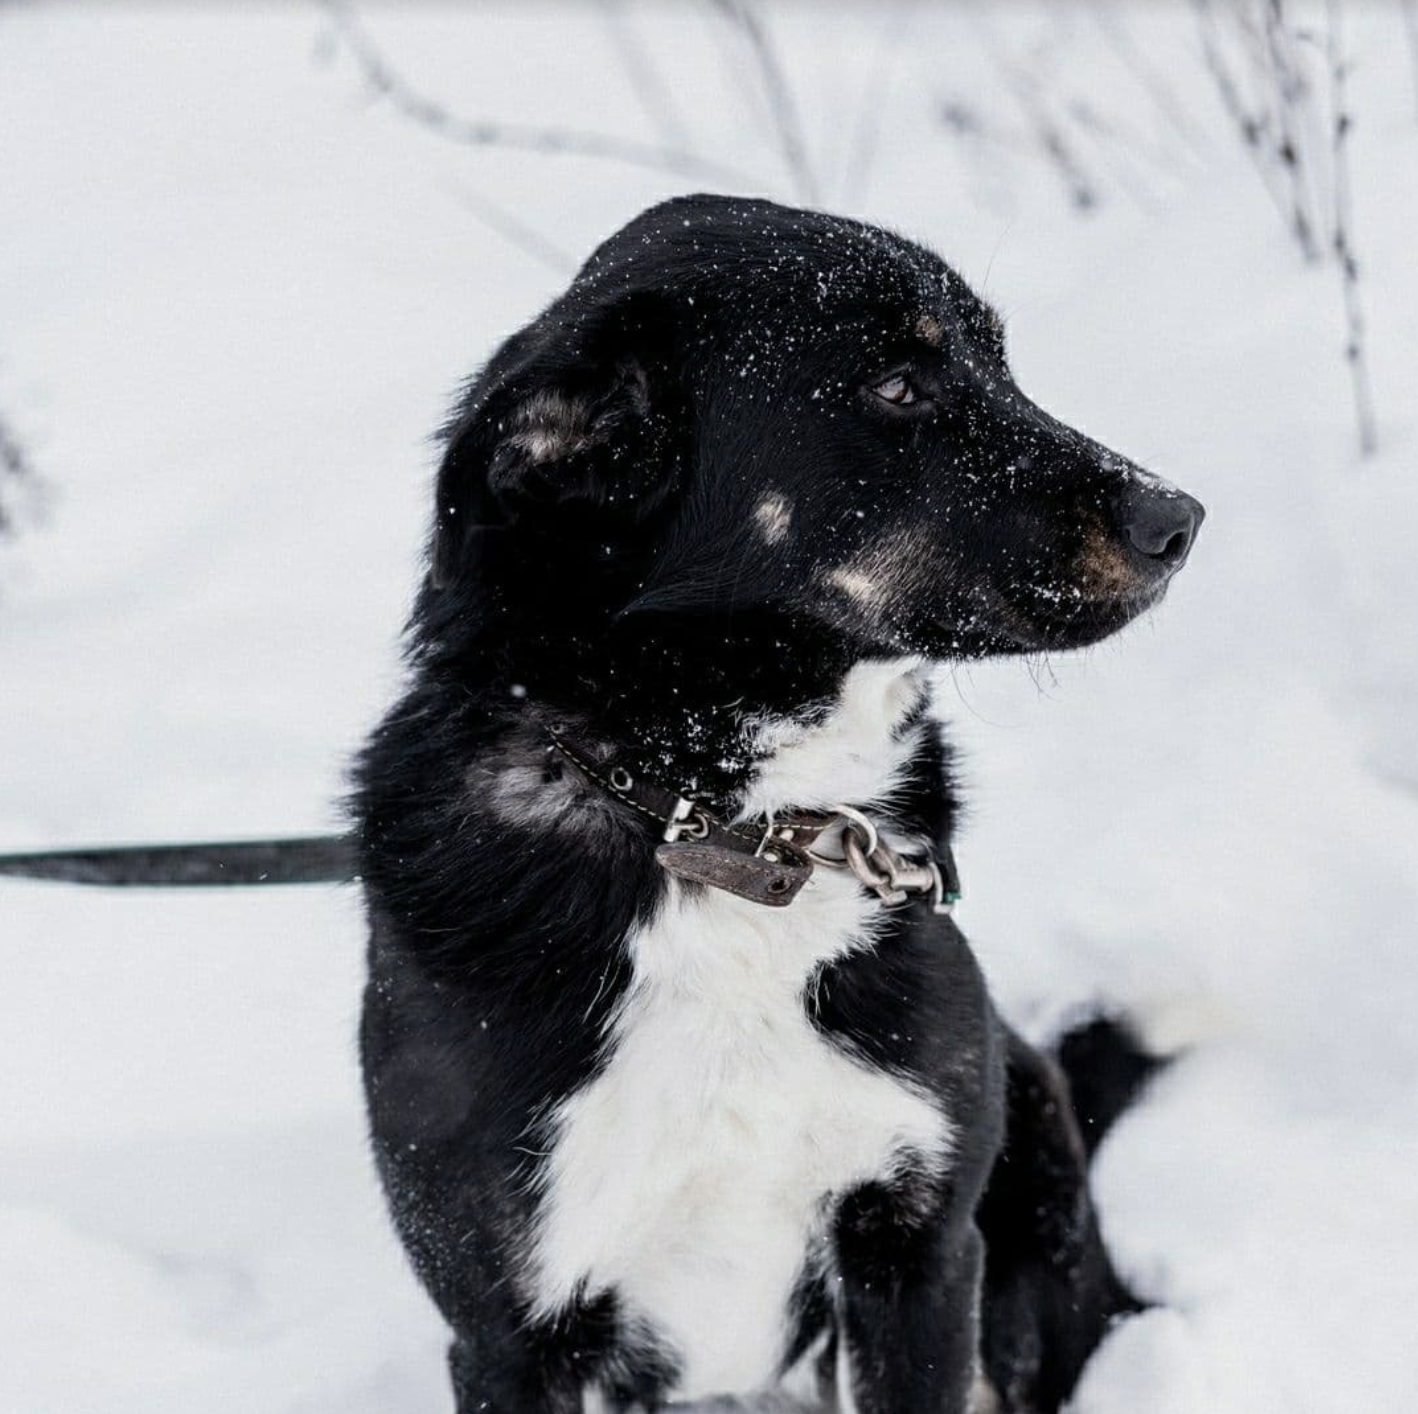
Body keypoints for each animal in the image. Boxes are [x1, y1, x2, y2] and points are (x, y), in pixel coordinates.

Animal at [351, 195, 1196, 1412]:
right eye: (895, 386)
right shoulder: (509, 1331)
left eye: (999, 361)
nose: (1180, 520)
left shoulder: (917, 1251)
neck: (731, 830)